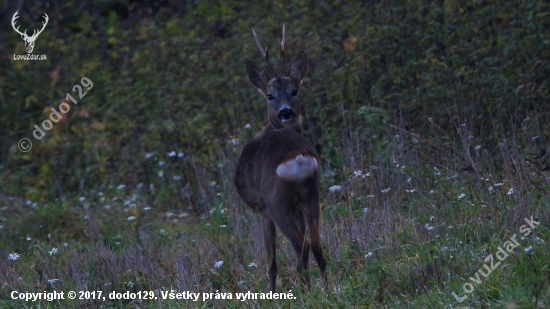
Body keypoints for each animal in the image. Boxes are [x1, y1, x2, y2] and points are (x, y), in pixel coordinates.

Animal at [234, 25, 328, 290]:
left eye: (294, 90)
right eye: (270, 95)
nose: (286, 112)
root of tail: (296, 159)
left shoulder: (262, 210)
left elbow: (271, 263)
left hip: (277, 201)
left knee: (301, 247)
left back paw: (309, 292)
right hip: (311, 192)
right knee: (316, 246)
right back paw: (327, 290)